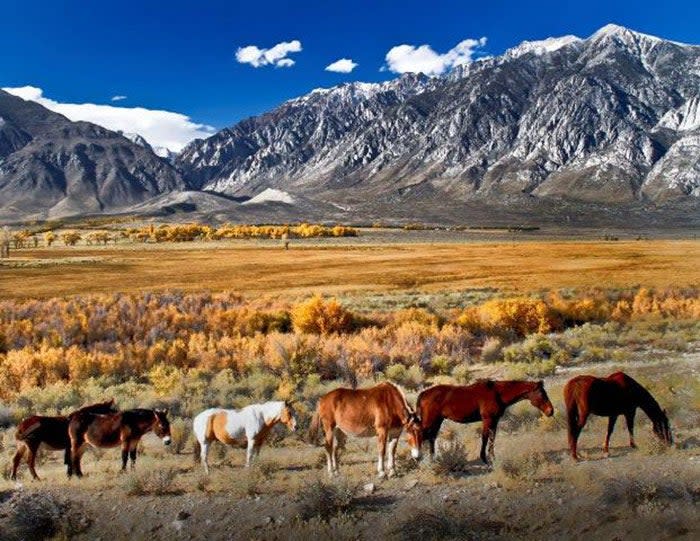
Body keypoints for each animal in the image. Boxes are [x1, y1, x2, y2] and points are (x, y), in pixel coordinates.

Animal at [416, 380, 552, 464]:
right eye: (542, 394)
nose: (551, 411)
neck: (497, 393)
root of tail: (424, 393)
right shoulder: (488, 419)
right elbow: (485, 438)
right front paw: (485, 459)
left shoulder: (494, 421)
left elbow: (492, 438)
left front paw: (492, 458)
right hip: (430, 421)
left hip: (437, 421)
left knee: (431, 438)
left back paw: (432, 460)